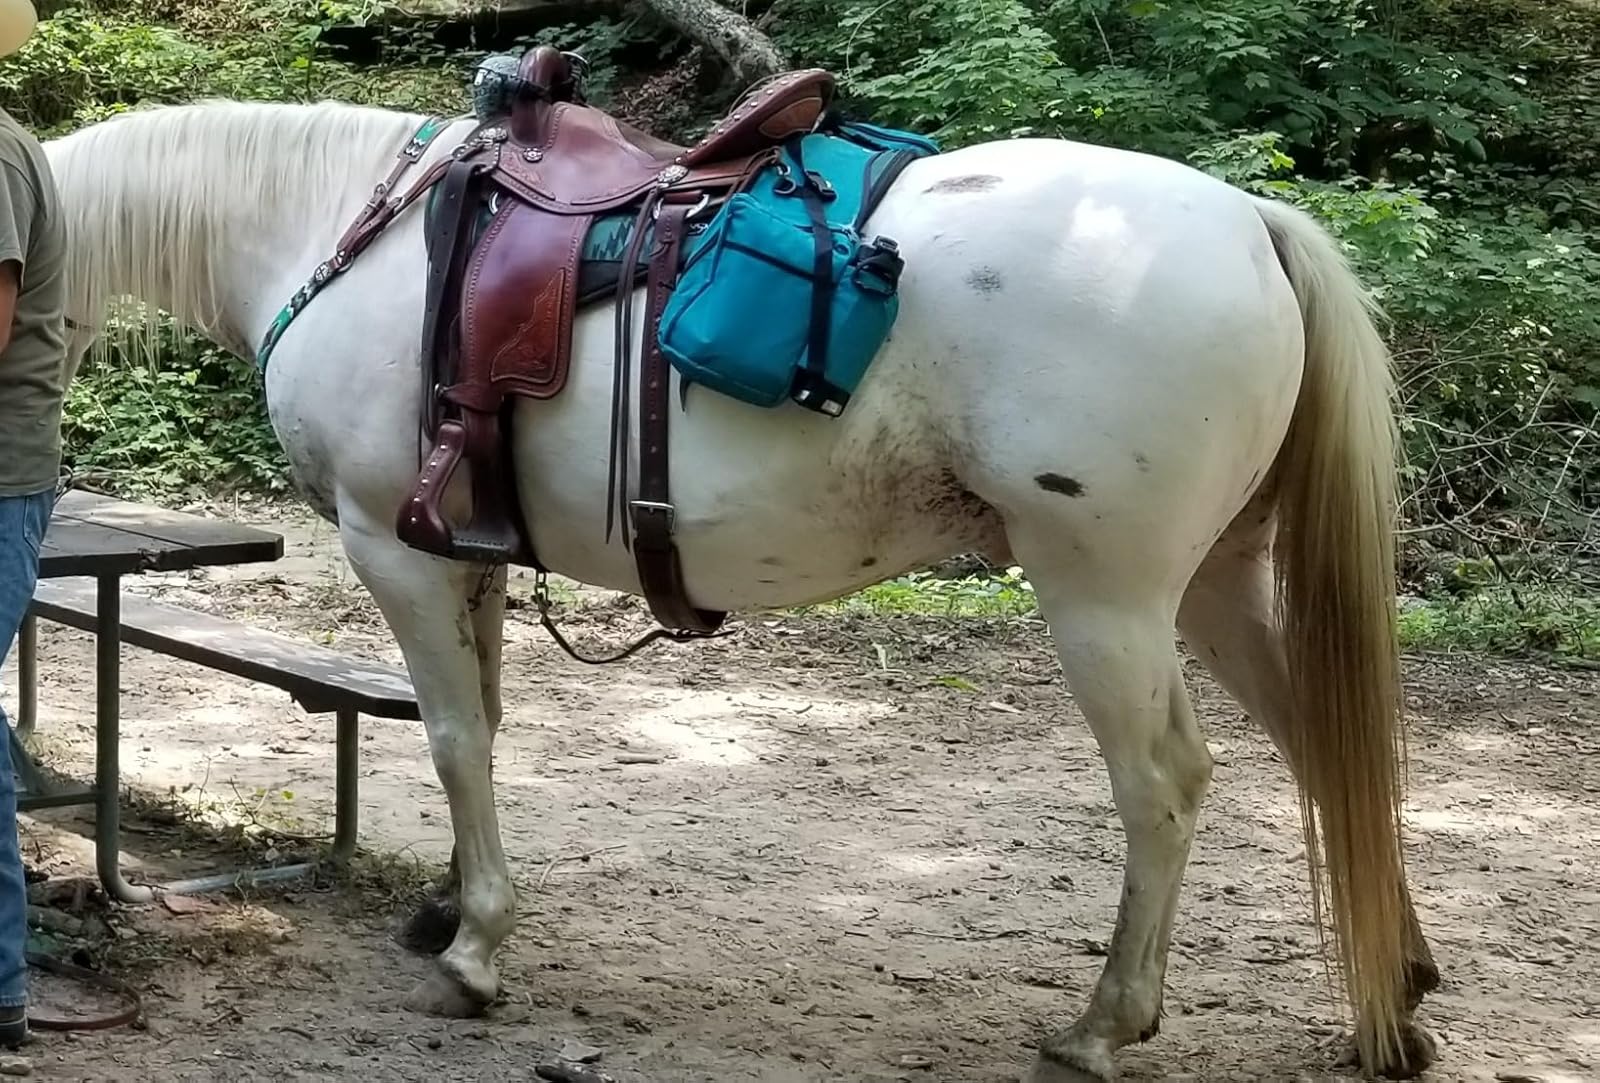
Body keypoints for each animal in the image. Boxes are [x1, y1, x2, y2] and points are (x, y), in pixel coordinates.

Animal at [43, 93, 1440, 1081]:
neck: (334, 229)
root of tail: (1250, 222)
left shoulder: (396, 546)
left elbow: (449, 738)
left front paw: (476, 951)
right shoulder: (465, 554)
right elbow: (482, 724)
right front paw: (447, 910)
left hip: (1109, 598)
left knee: (1163, 788)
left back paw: (1104, 1026)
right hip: (1215, 584)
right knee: (1327, 747)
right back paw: (1399, 999)